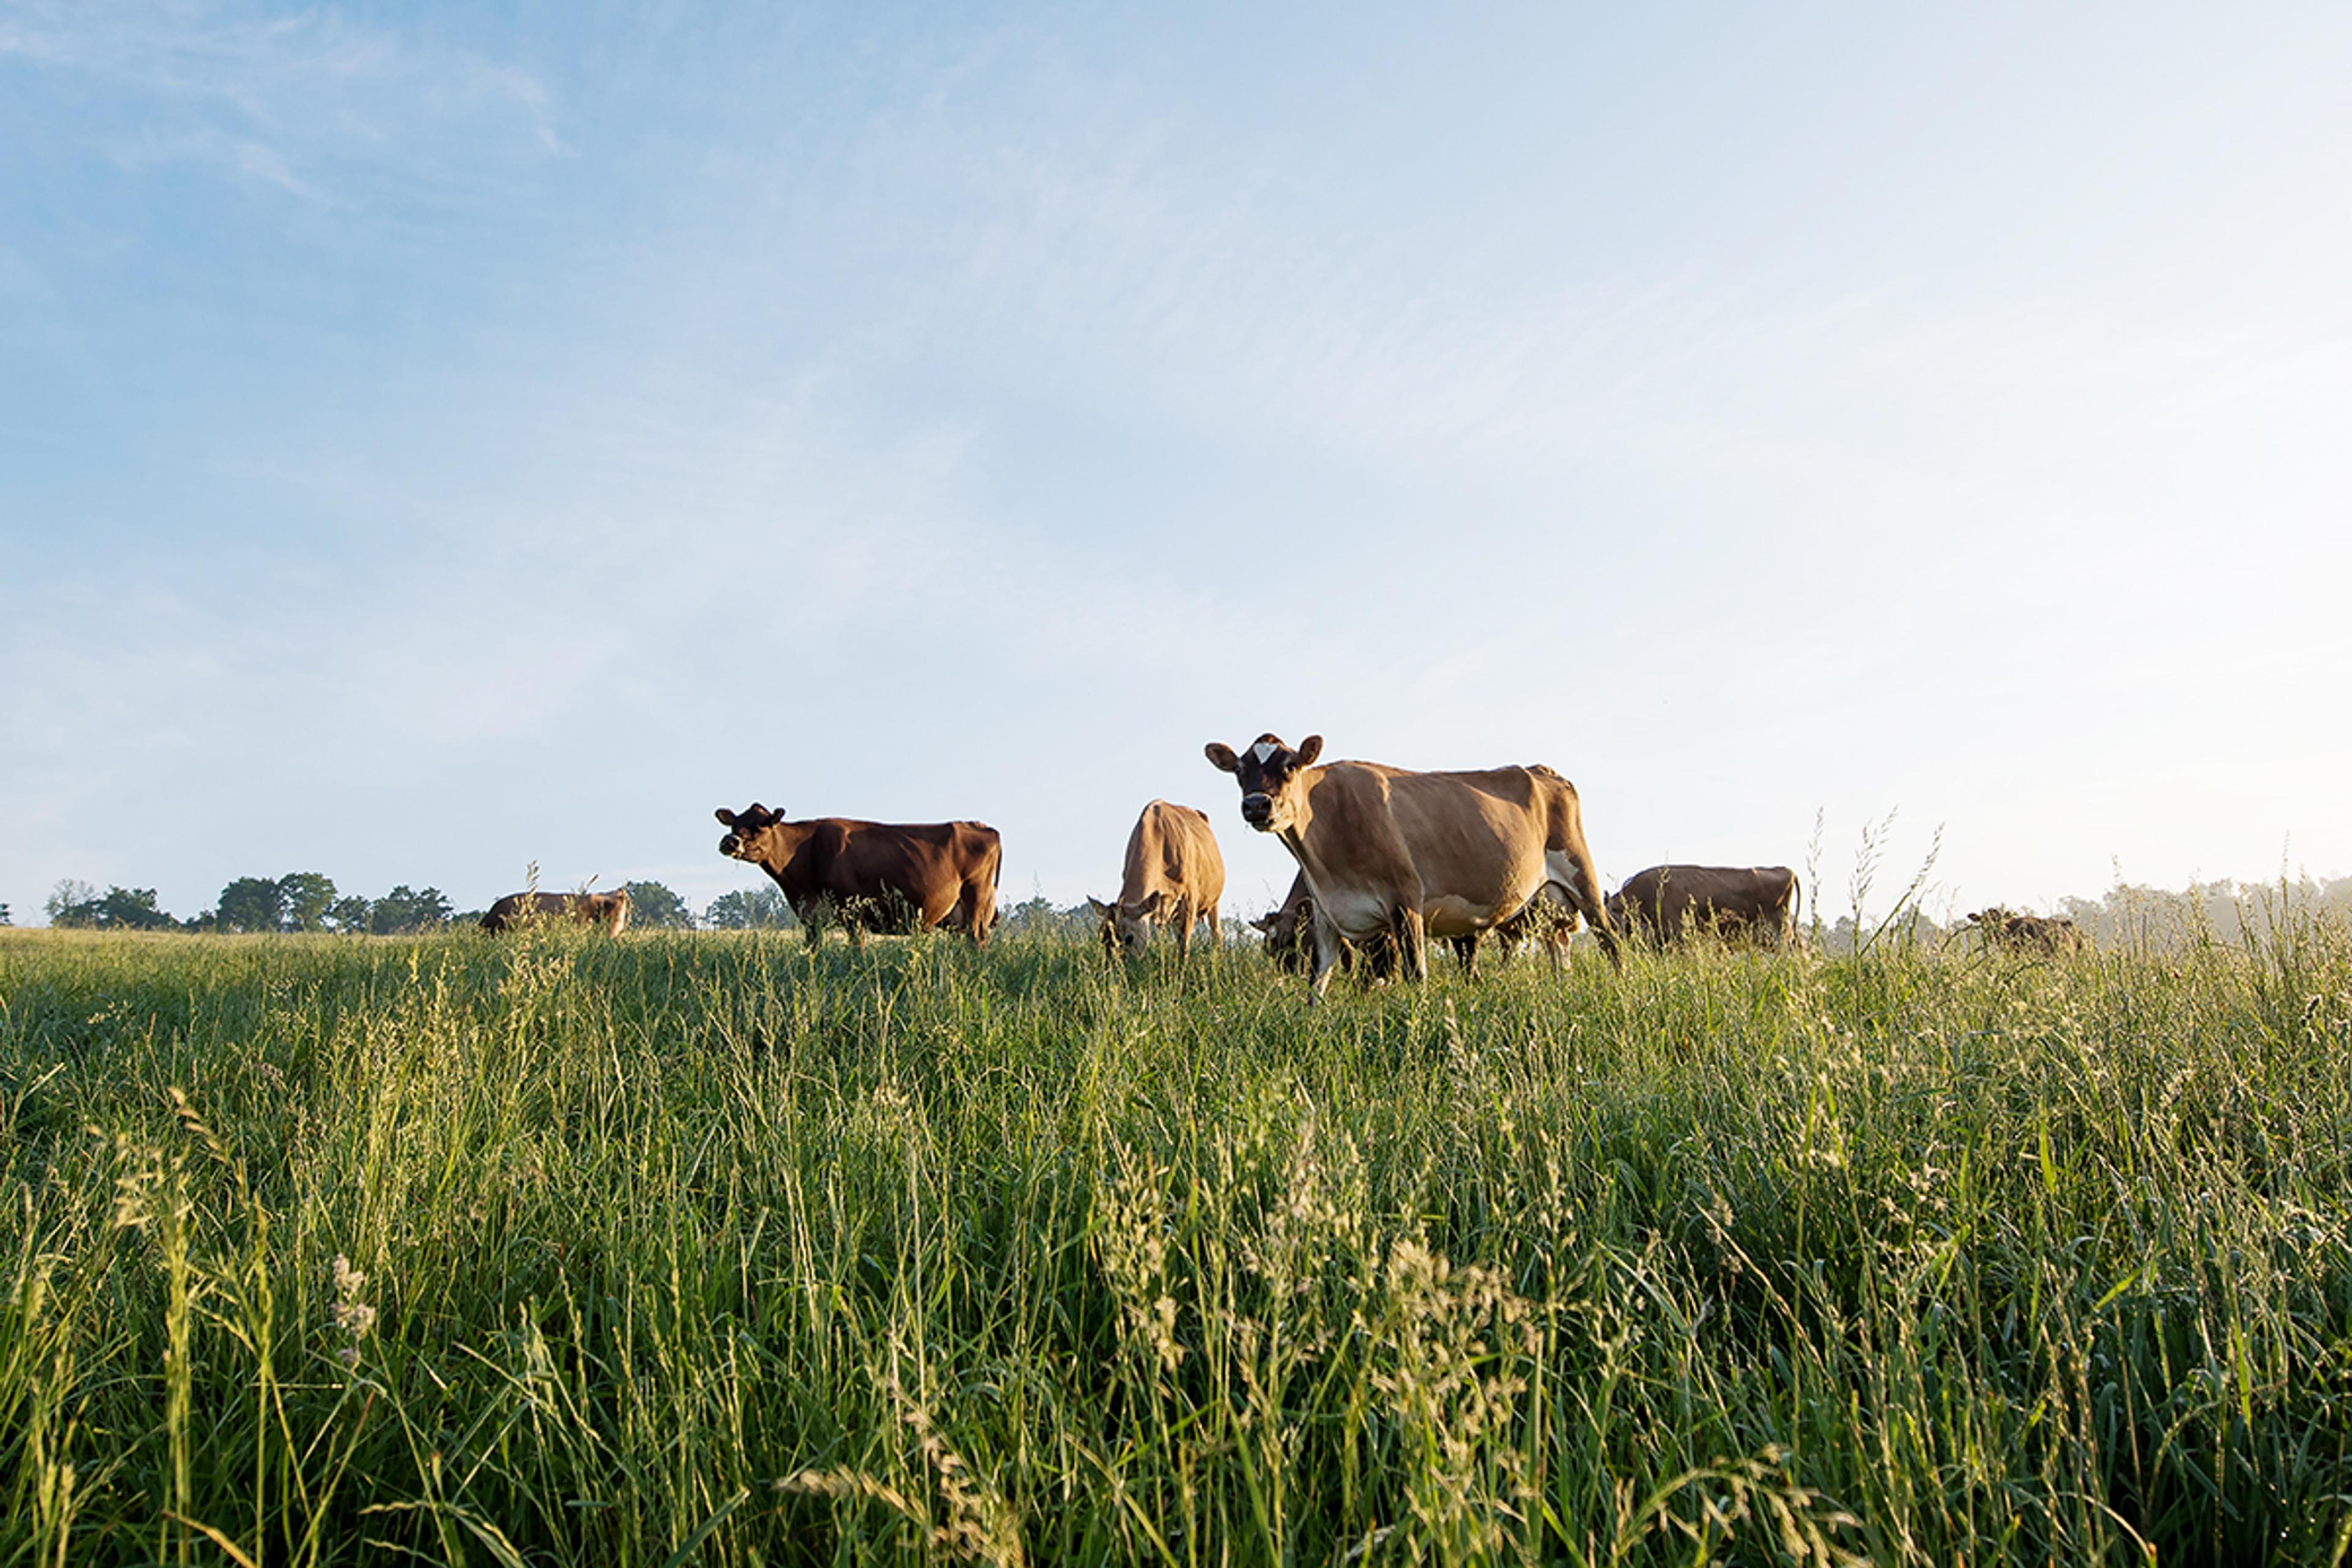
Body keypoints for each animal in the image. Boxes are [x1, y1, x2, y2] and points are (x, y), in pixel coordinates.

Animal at [1087, 804, 1232, 963]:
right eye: (1102, 938)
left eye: (1129, 938)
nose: (1113, 966)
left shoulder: (1189, 898)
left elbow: (1183, 943)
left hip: (1213, 901)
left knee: (1217, 933)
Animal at [1213, 733, 1618, 1001]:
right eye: (1239, 771)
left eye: (1289, 766)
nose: (1257, 805)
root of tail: (1543, 769)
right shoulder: (1327, 915)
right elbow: (1318, 985)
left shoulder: (1405, 902)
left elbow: (1414, 975)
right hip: (1546, 904)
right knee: (1559, 947)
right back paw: (1563, 990)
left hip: (1581, 874)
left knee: (1609, 937)